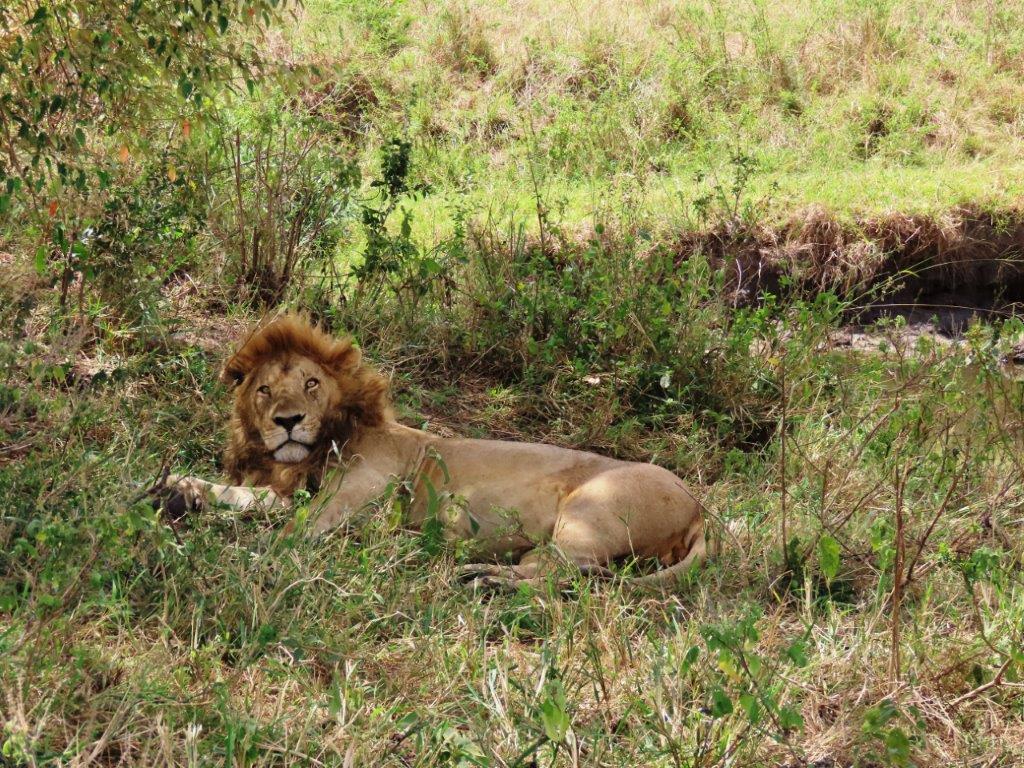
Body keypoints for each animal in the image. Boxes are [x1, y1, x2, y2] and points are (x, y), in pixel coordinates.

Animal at [158, 315, 706, 588]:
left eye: (312, 383)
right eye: (265, 390)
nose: (287, 422)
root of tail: (700, 507)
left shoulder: (347, 503)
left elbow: (286, 535)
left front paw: (232, 556)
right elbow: (245, 498)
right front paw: (178, 491)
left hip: (589, 512)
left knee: (570, 572)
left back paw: (483, 577)